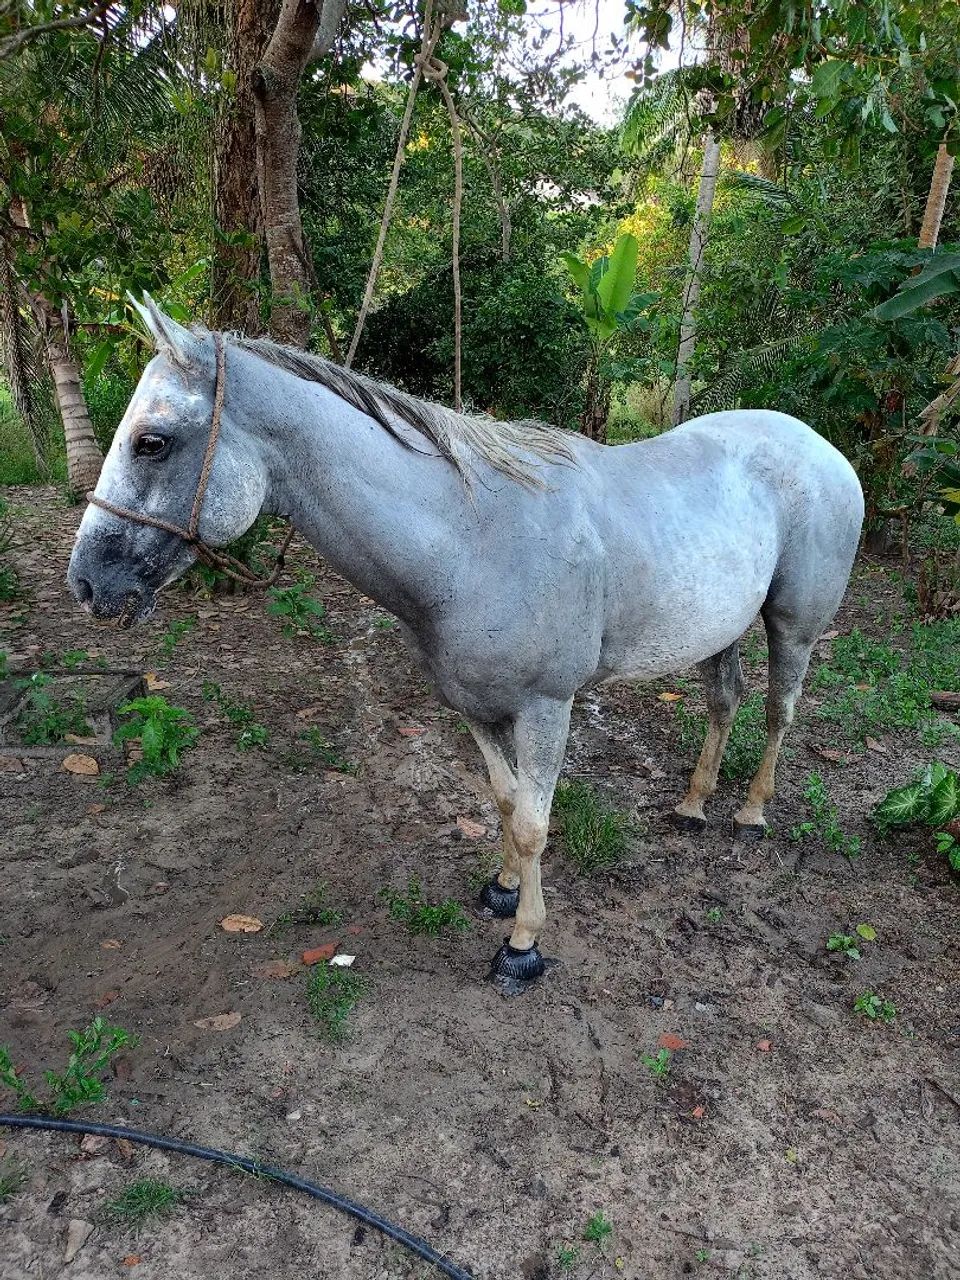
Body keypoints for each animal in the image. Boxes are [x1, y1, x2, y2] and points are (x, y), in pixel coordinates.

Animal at [67, 297, 864, 994]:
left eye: (151, 441)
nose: (86, 582)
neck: (470, 540)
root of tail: (821, 445)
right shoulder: (473, 706)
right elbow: (507, 803)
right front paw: (503, 889)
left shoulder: (546, 708)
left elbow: (537, 822)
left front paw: (523, 946)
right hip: (716, 630)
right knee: (724, 702)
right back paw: (695, 803)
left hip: (793, 625)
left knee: (778, 711)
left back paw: (751, 812)